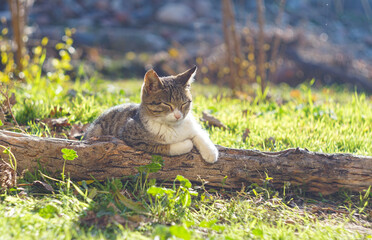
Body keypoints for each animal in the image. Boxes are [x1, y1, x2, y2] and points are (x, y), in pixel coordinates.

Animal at [84, 65, 218, 163]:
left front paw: (211, 152)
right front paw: (186, 144)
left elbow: (199, 133)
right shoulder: (132, 136)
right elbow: (162, 147)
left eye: (184, 103)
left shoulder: (190, 124)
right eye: (167, 104)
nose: (178, 116)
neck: (173, 127)